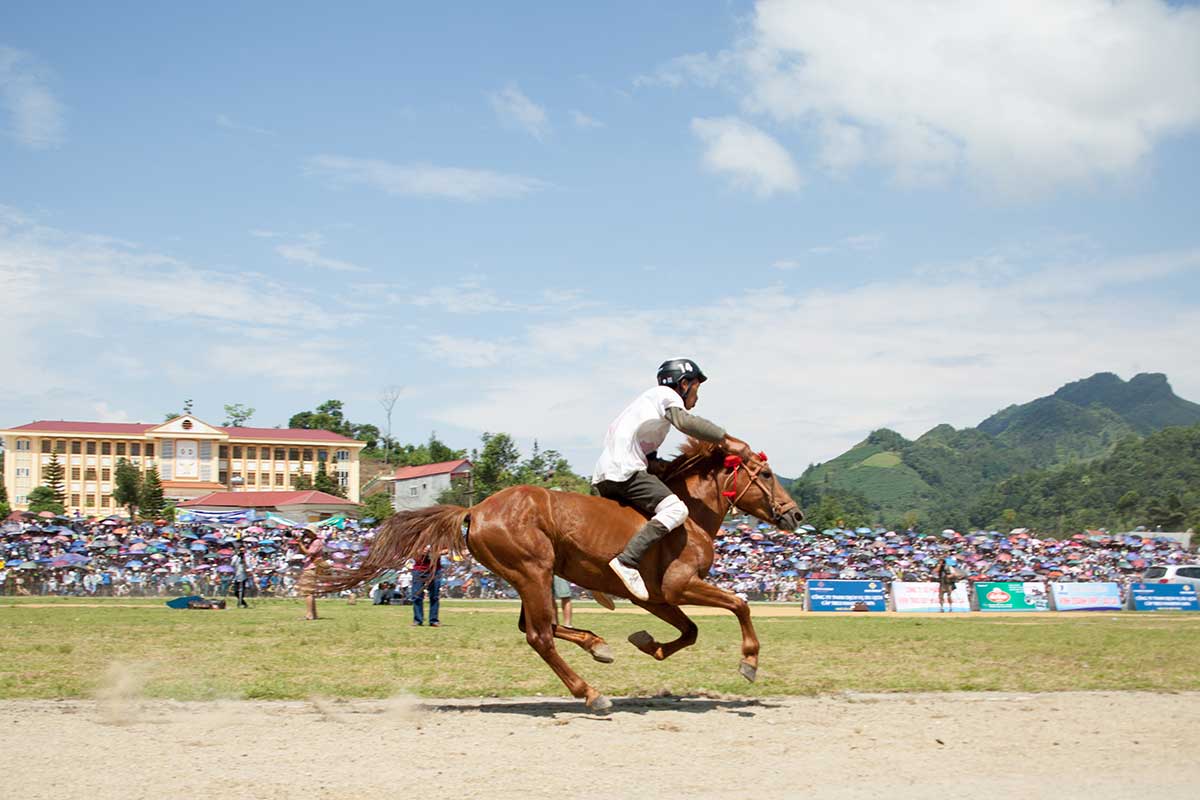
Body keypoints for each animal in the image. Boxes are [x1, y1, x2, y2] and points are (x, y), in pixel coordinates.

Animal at [324, 438, 801, 714]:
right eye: (767, 474)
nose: (795, 515)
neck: (690, 517)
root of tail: (476, 510)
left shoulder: (656, 597)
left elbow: (690, 632)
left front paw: (648, 644)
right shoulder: (678, 586)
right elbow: (739, 604)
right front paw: (749, 661)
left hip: (530, 577)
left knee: (539, 626)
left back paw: (597, 645)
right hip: (532, 571)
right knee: (539, 635)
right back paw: (590, 692)